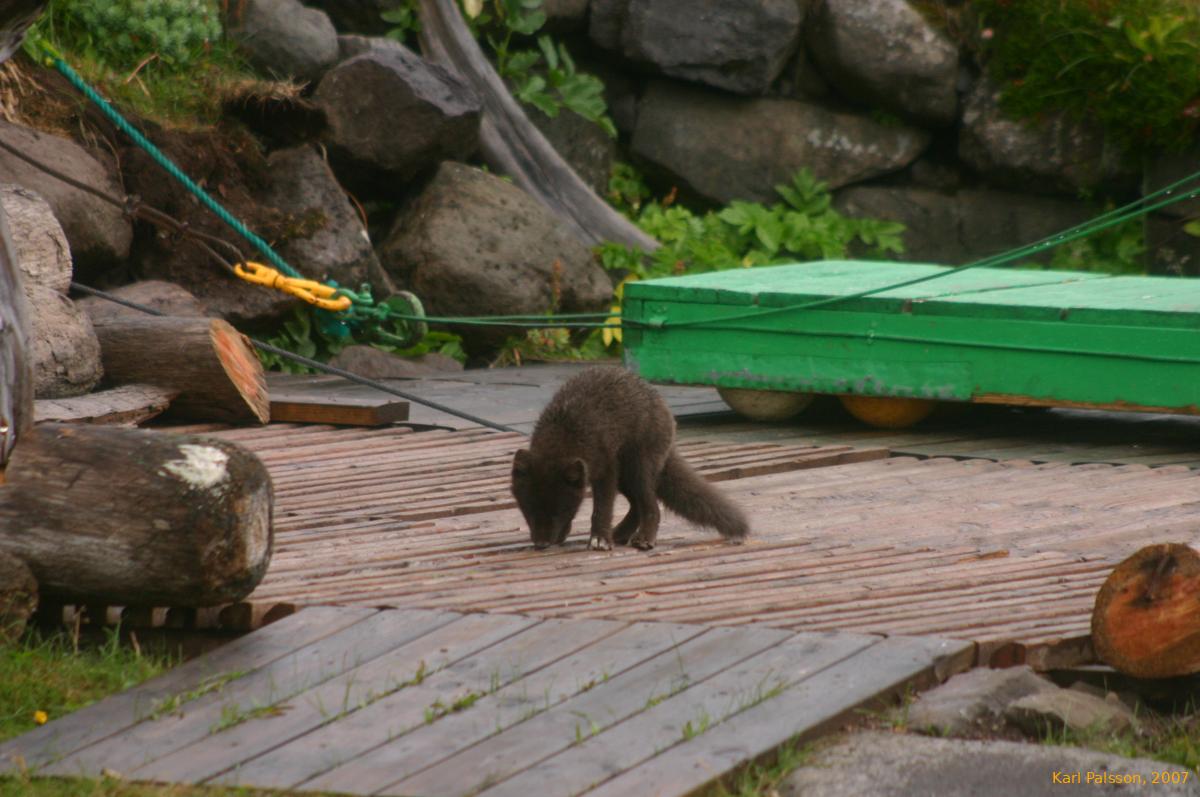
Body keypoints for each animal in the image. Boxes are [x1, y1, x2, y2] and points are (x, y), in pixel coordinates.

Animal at [511, 367, 749, 551]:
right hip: (626, 477)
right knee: (637, 506)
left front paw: (600, 539)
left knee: (651, 506)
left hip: (638, 469)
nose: (541, 544)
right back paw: (620, 534)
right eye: (529, 510)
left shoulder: (606, 470)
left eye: (559, 511)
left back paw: (644, 539)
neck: (564, 436)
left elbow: (602, 509)